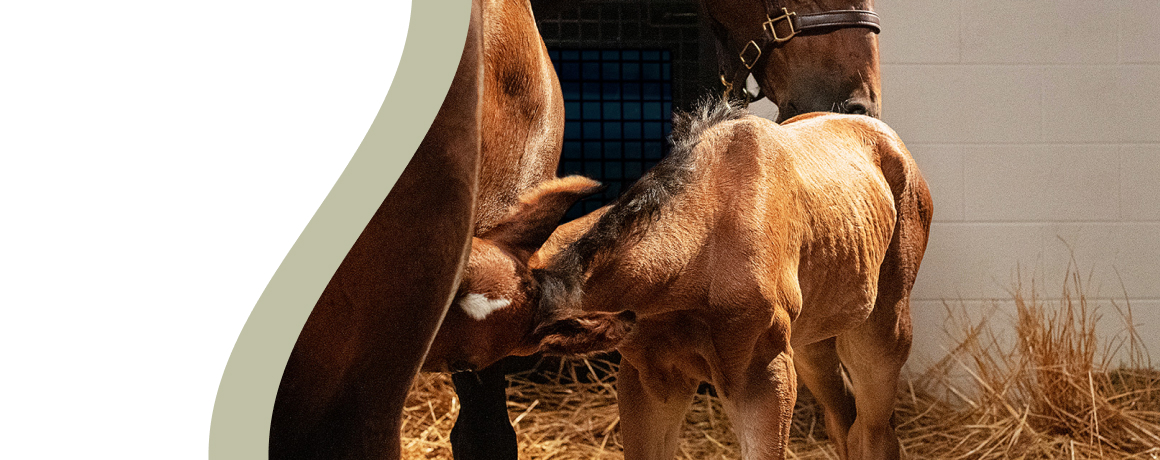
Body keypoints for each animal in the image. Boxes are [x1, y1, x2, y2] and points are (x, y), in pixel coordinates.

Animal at [520, 98, 934, 460]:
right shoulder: (648, 377)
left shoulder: (764, 376)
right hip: (812, 344)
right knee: (844, 421)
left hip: (878, 336)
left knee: (874, 432)